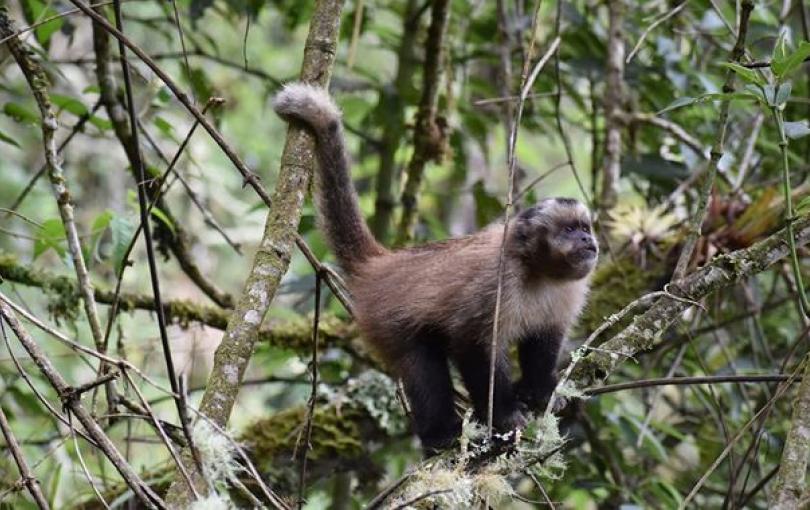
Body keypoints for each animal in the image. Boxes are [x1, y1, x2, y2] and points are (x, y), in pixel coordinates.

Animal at [272, 84, 592, 454]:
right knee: (422, 363)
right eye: (569, 230)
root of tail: (386, 262)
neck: (539, 272)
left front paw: (538, 392)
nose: (588, 239)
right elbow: (472, 342)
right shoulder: (497, 279)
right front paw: (504, 415)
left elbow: (544, 341)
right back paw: (439, 434)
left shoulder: (570, 291)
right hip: (385, 319)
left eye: (585, 227)